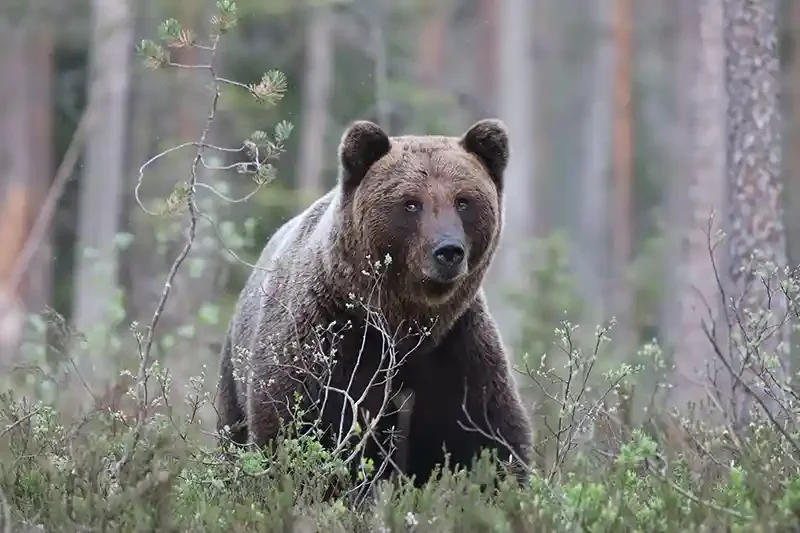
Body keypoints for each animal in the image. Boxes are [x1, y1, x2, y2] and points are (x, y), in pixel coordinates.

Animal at [214, 118, 533, 490]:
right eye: (411, 203)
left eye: (464, 201)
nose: (448, 251)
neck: (399, 325)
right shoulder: (324, 345)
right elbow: (295, 431)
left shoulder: (457, 355)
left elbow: (492, 443)